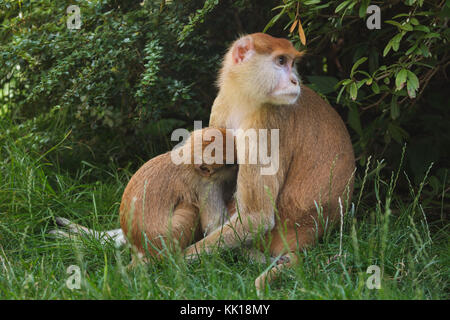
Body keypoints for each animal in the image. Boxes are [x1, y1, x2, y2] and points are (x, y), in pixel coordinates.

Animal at [184, 33, 356, 294]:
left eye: (291, 63)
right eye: (281, 61)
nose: (295, 80)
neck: (245, 98)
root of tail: (310, 231)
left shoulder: (267, 120)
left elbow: (257, 217)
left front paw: (176, 259)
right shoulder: (222, 104)